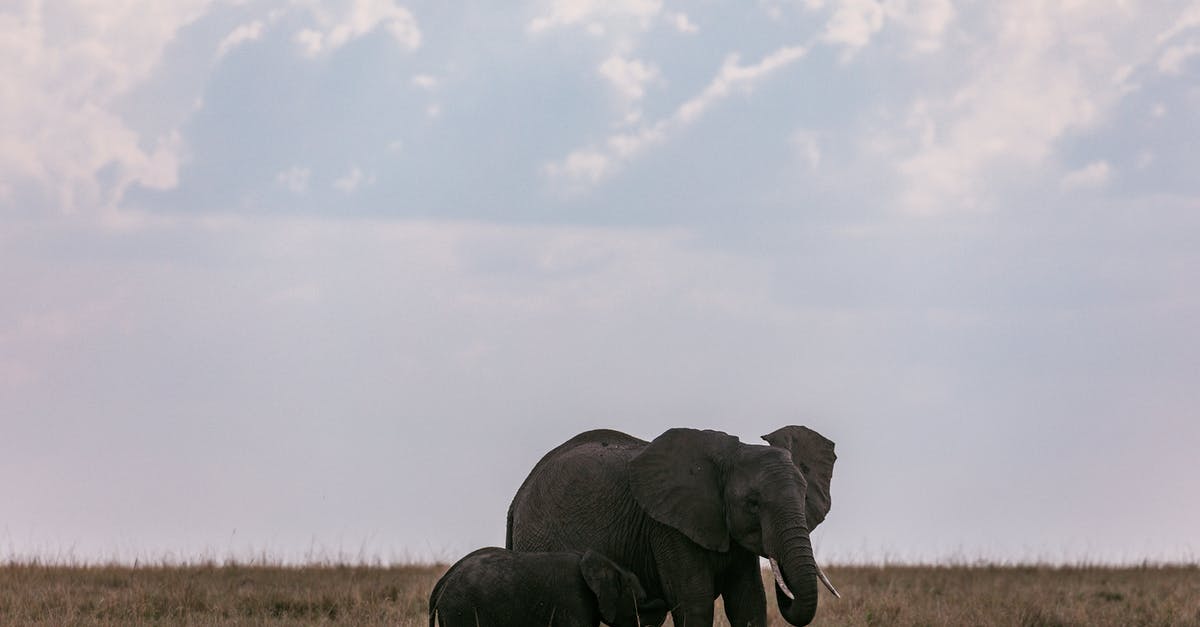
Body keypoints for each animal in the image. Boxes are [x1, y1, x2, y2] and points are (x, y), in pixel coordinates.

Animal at [506, 426, 838, 627]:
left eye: (805, 497)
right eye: (753, 503)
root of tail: (518, 496)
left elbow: (748, 602)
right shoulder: (668, 528)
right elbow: (695, 603)